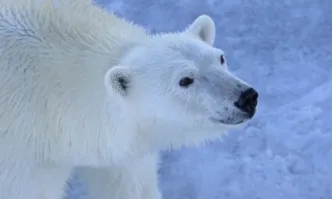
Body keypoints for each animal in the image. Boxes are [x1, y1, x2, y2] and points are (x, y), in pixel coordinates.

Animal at [0, 0, 260, 199]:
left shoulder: (121, 147)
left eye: (220, 58)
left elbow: (128, 186)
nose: (246, 97)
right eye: (185, 80)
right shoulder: (21, 160)